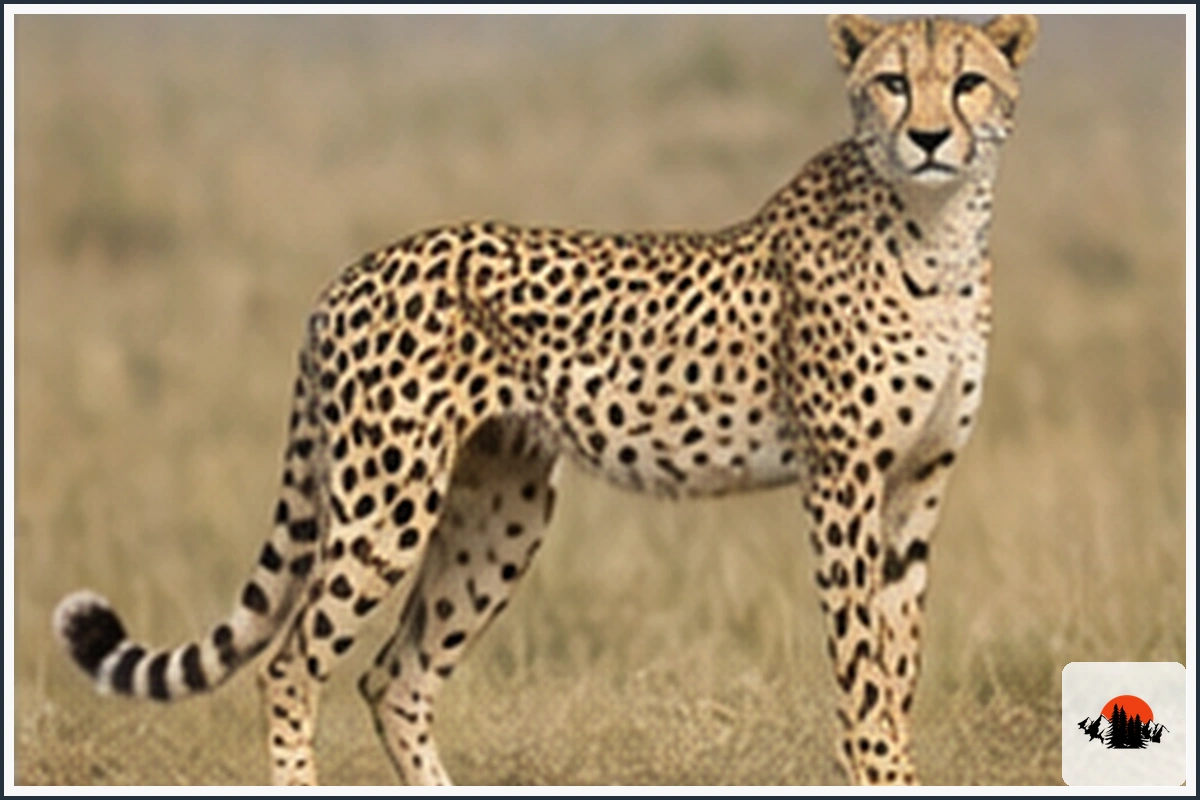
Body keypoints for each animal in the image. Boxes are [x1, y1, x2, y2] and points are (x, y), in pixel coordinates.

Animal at [53, 14, 1037, 786]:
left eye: (969, 83)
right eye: (893, 84)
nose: (930, 138)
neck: (939, 231)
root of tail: (349, 273)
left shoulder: (917, 483)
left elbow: (899, 660)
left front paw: (900, 764)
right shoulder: (841, 480)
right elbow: (862, 667)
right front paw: (878, 768)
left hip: (502, 511)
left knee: (395, 676)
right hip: (387, 503)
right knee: (292, 664)